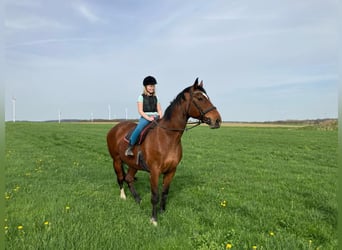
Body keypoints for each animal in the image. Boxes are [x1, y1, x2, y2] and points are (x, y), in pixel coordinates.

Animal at [106, 77, 222, 225]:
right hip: (116, 160)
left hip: (133, 164)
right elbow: (155, 195)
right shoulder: (155, 171)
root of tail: (115, 128)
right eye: (200, 98)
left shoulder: (171, 170)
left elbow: (165, 193)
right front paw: (154, 219)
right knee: (121, 178)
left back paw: (138, 199)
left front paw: (162, 211)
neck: (167, 137)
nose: (217, 120)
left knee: (129, 178)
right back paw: (123, 196)